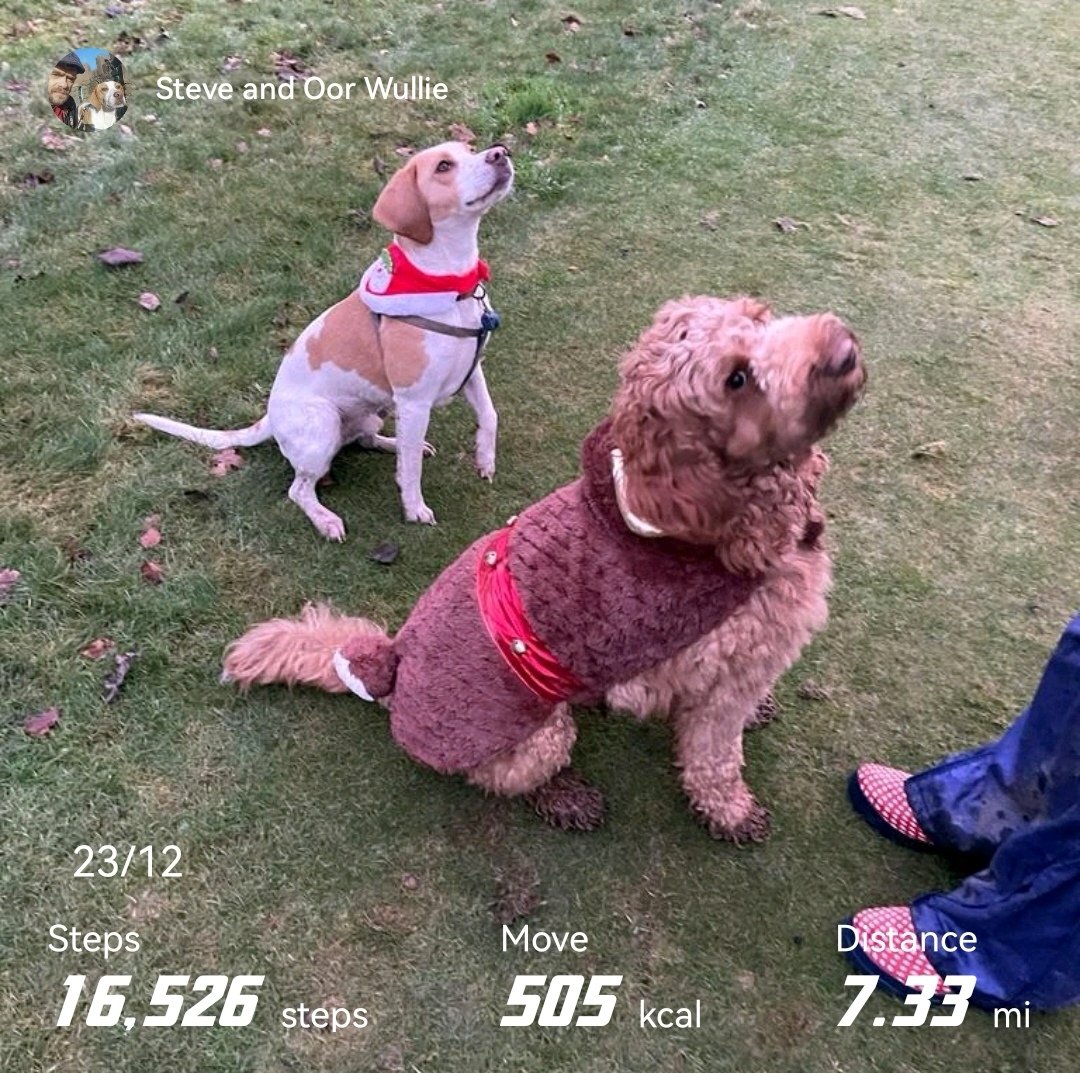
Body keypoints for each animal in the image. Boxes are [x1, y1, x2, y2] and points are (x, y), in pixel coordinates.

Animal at [135, 141, 514, 535]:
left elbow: (490, 415)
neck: (452, 286)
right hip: (323, 427)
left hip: (372, 415)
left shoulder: (472, 371)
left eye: (471, 149)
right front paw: (414, 509)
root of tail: (270, 418)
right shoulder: (414, 402)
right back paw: (325, 519)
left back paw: (393, 443)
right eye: (443, 166)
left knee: (369, 440)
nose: (501, 152)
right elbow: (410, 471)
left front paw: (485, 459)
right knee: (299, 489)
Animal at [223, 297, 864, 841]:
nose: (841, 349)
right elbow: (715, 757)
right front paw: (731, 812)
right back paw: (567, 797)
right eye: (736, 379)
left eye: (760, 317)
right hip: (533, 730)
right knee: (510, 776)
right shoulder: (725, 676)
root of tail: (393, 662)